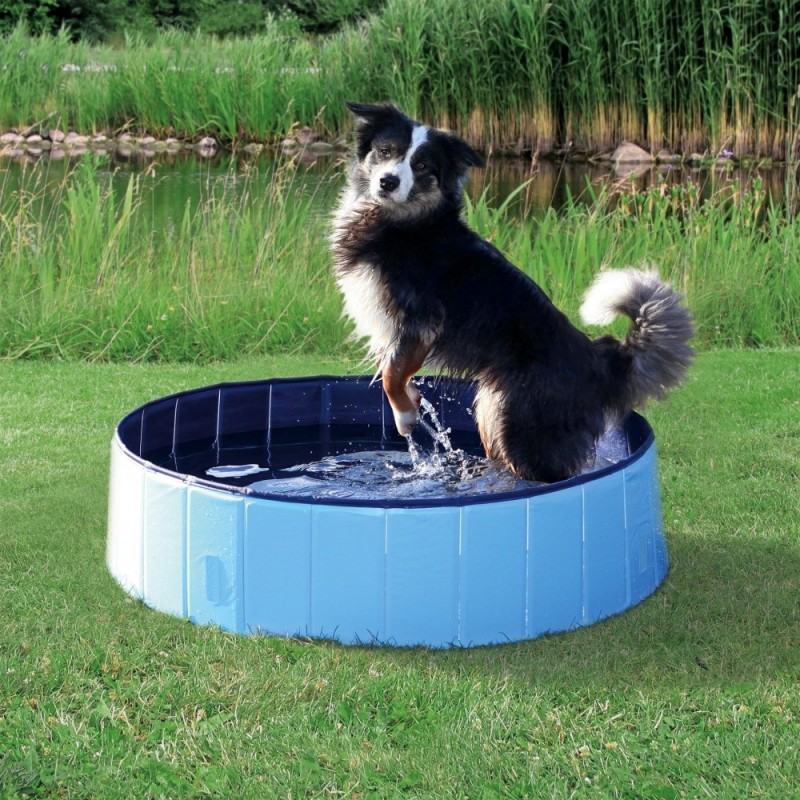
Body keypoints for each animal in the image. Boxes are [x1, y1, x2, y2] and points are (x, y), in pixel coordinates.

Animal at [332, 103, 692, 484]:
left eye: (422, 166)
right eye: (386, 151)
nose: (388, 182)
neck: (407, 222)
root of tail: (597, 360)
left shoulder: (422, 320)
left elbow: (391, 376)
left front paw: (405, 417)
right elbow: (394, 367)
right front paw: (413, 398)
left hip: (527, 427)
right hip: (495, 412)